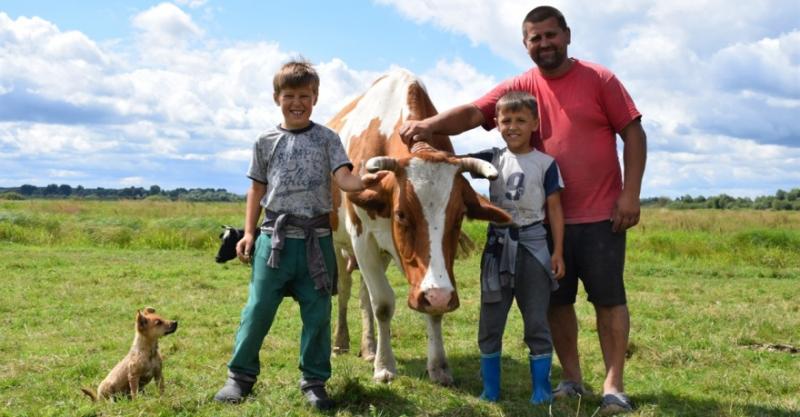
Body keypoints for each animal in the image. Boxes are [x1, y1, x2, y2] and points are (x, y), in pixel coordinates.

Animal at [326, 69, 510, 384]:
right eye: (401, 214)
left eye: (459, 216)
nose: (438, 295)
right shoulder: (362, 238)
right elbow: (383, 303)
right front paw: (385, 366)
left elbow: (427, 309)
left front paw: (438, 365)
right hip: (339, 243)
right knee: (347, 288)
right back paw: (341, 343)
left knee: (363, 294)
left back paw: (369, 347)